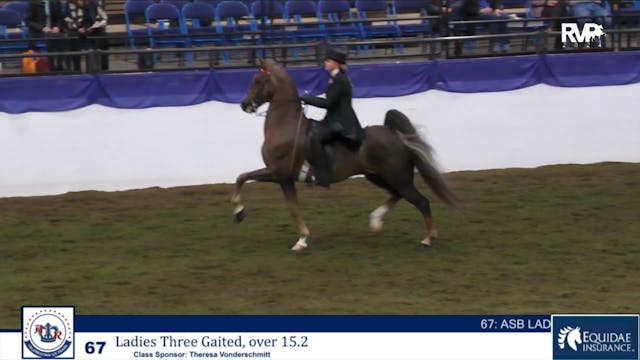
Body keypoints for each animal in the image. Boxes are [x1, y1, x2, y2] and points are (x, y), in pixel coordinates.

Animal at [235, 58, 460, 250]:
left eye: (258, 81)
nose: (244, 104)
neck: (286, 128)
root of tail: (394, 134)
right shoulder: (285, 179)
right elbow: (293, 209)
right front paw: (302, 240)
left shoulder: (277, 173)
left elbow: (242, 177)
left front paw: (239, 212)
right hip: (376, 176)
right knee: (396, 195)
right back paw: (376, 221)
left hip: (399, 178)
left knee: (421, 201)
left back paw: (428, 238)